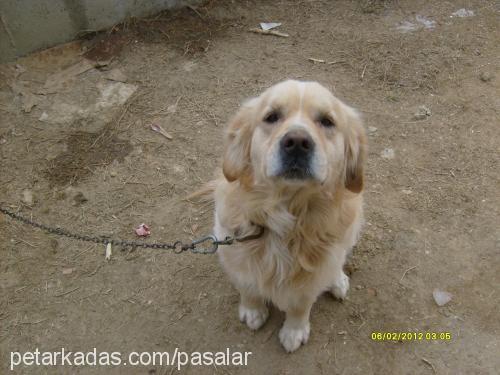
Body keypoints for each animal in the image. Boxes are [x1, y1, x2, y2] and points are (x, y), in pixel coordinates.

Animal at [213, 79, 366, 352]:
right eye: (271, 117)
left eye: (327, 121)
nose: (296, 142)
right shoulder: (233, 250)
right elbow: (248, 286)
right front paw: (252, 310)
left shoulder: (310, 279)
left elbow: (300, 304)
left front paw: (294, 331)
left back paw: (337, 280)